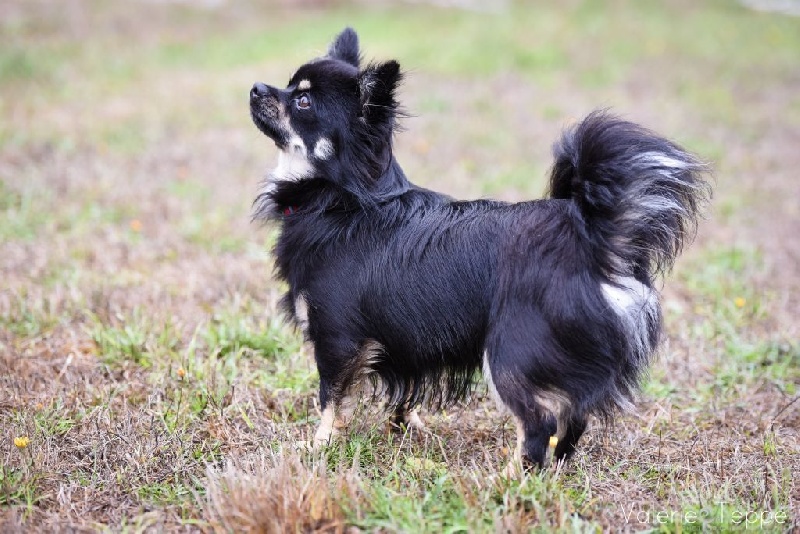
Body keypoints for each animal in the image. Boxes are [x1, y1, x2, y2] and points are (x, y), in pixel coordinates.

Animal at [248, 27, 708, 472]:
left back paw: (509, 481)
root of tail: (591, 237)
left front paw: (318, 447)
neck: (338, 200)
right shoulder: (404, 342)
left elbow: (331, 400)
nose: (255, 87)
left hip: (510, 356)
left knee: (540, 424)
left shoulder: (337, 338)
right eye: (288, 84)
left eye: (302, 100)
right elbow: (405, 395)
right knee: (573, 421)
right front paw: (407, 431)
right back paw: (556, 471)